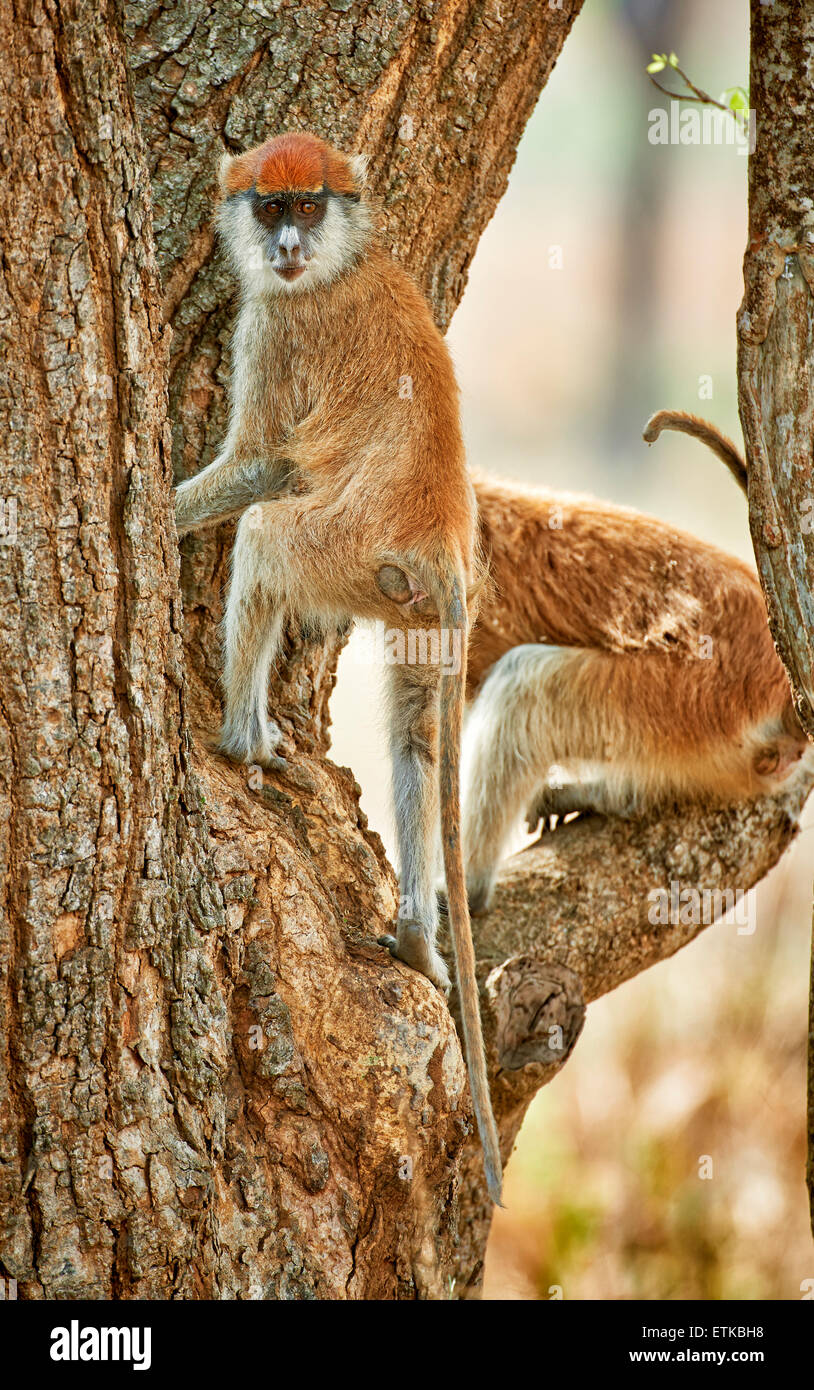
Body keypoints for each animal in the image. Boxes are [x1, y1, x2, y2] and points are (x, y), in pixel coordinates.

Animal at [174, 130, 500, 1200]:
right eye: (272, 206)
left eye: (307, 207)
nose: (283, 245)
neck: (345, 262)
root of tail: (435, 537)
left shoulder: (277, 326)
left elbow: (264, 461)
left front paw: (154, 510)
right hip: (416, 607)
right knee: (417, 737)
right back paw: (416, 933)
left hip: (346, 552)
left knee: (272, 535)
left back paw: (242, 739)